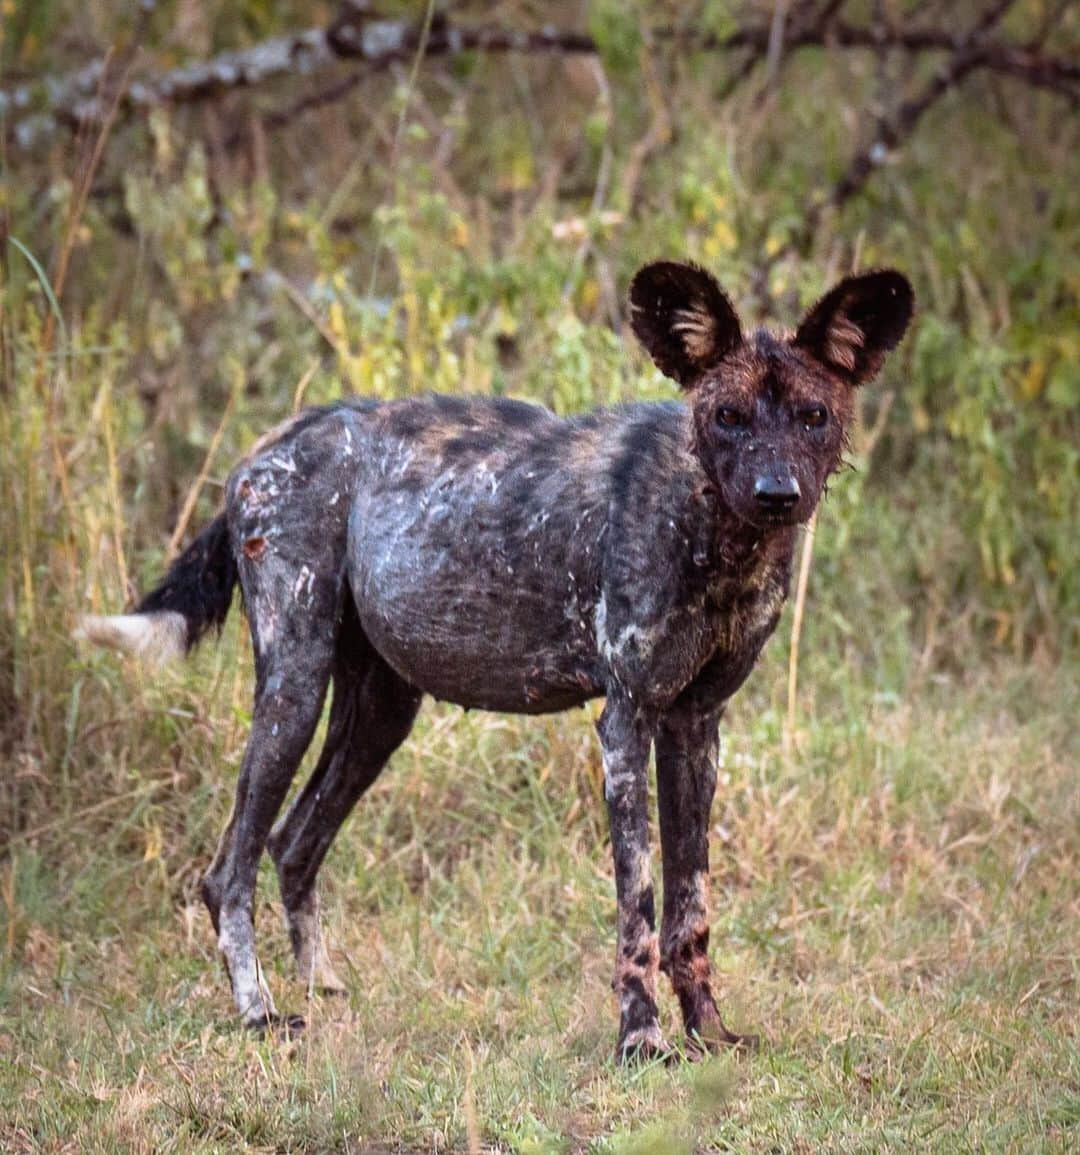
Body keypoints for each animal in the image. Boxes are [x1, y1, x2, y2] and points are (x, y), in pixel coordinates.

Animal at [80, 262, 914, 1062]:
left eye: (813, 416)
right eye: (728, 417)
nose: (778, 493)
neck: (714, 534)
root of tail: (267, 446)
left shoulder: (695, 727)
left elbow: (690, 912)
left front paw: (709, 1032)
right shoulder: (626, 723)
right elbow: (639, 909)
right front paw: (641, 1039)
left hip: (381, 715)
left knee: (292, 844)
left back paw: (321, 987)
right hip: (295, 688)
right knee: (227, 872)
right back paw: (259, 1011)